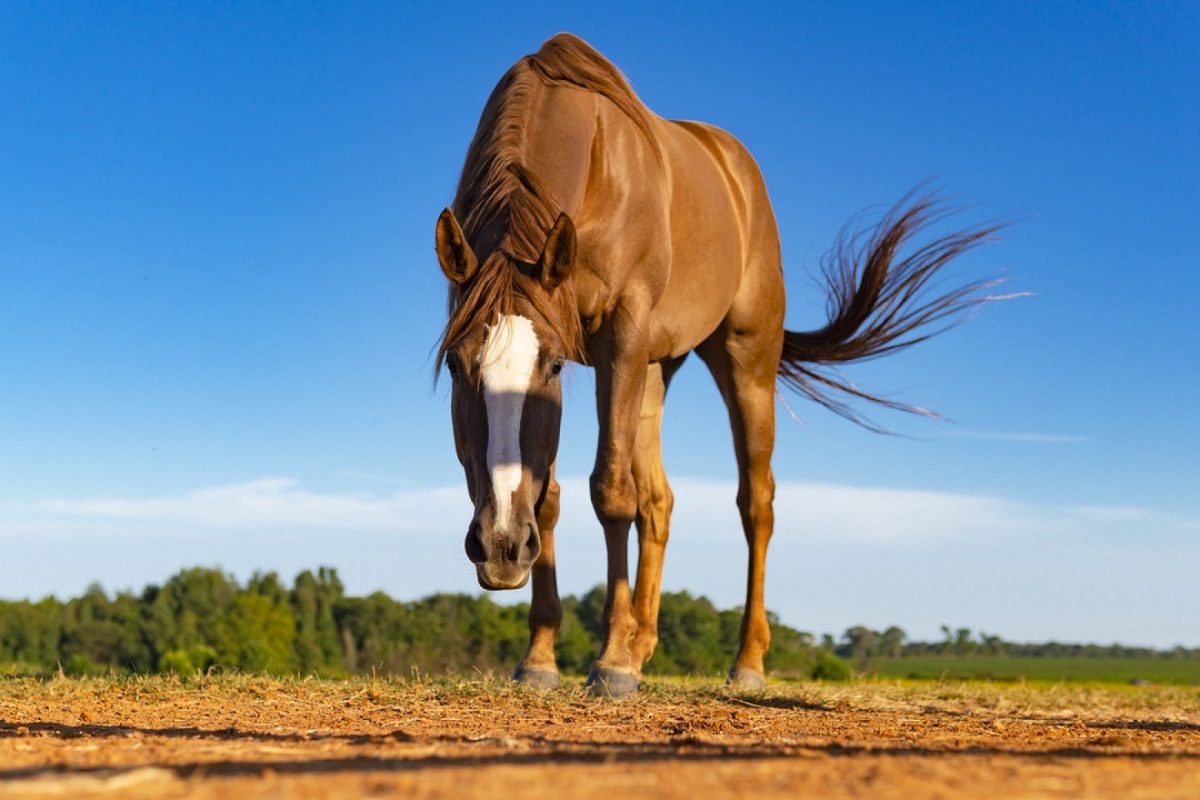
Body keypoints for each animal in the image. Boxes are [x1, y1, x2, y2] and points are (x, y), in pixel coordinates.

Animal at [432, 32, 1003, 695]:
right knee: (659, 501)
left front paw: (609, 661)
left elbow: (610, 491)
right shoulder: (607, 359)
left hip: (744, 360)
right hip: (656, 369)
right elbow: (551, 495)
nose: (500, 545)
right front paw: (543, 656)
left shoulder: (619, 340)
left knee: (755, 503)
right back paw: (642, 644)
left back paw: (744, 660)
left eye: (549, 367)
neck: (594, 164)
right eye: (456, 365)